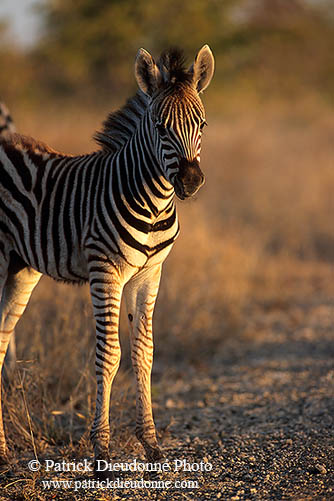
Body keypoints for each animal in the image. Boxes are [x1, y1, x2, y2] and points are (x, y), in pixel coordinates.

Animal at [0, 46, 214, 476]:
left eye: (201, 124)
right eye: (160, 128)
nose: (190, 182)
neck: (153, 202)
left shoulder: (150, 273)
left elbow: (144, 353)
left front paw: (152, 447)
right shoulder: (105, 272)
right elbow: (110, 355)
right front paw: (101, 452)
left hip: (20, 268)